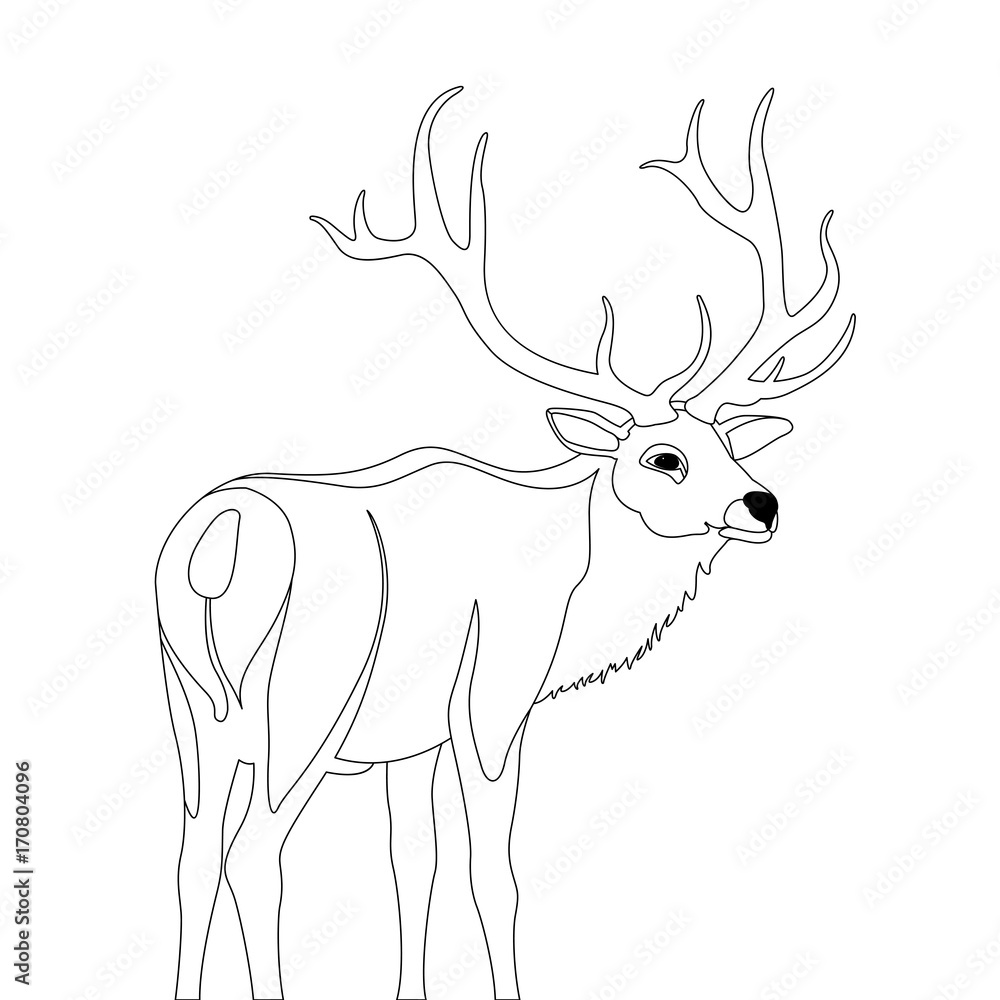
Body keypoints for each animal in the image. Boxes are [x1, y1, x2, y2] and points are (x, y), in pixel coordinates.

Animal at [155, 87, 855, 999]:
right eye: (662, 457)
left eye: (730, 446)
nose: (763, 504)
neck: (573, 586)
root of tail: (217, 541)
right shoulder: (492, 702)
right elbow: (495, 872)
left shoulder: (407, 741)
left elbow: (411, 865)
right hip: (302, 704)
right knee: (254, 851)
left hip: (192, 708)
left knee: (193, 853)